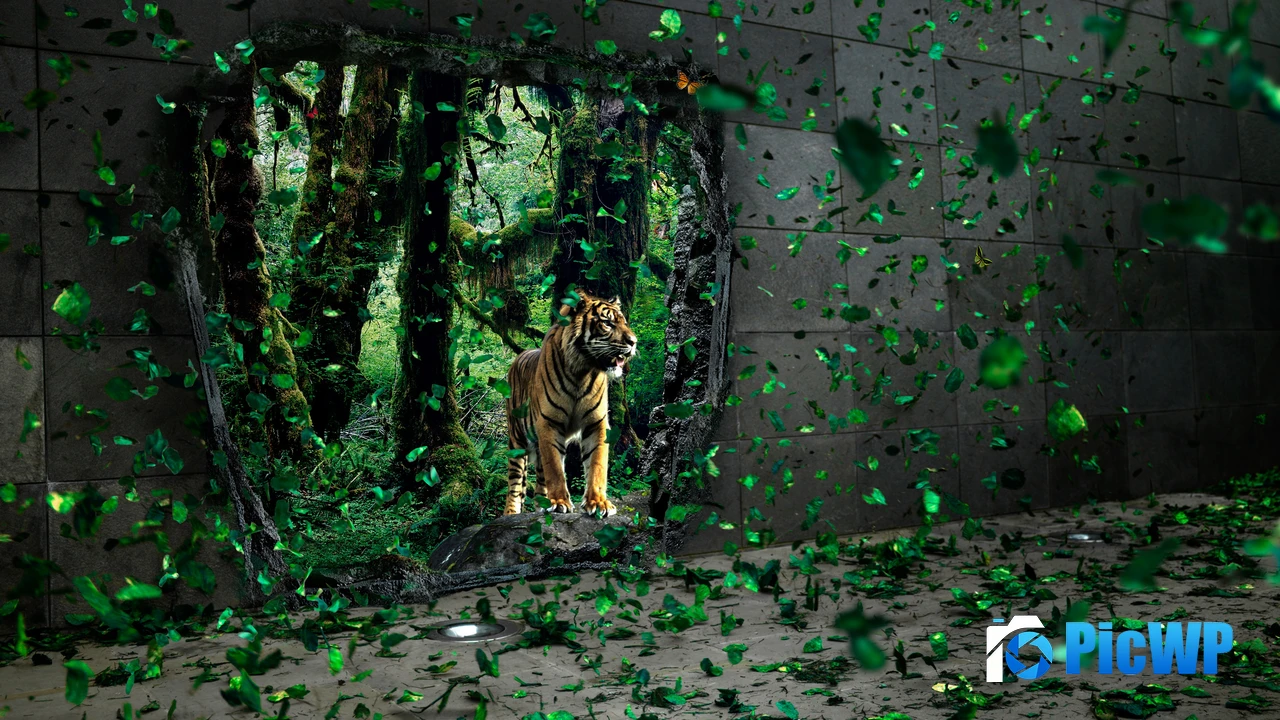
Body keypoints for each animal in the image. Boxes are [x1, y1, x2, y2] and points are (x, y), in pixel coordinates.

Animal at [503, 292, 638, 517]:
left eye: (624, 323)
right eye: (608, 323)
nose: (634, 342)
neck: (581, 371)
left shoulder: (597, 423)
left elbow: (597, 464)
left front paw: (598, 502)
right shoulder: (548, 423)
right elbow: (555, 468)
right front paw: (559, 502)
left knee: (539, 481)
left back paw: (542, 505)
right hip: (517, 440)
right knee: (515, 484)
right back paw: (512, 513)